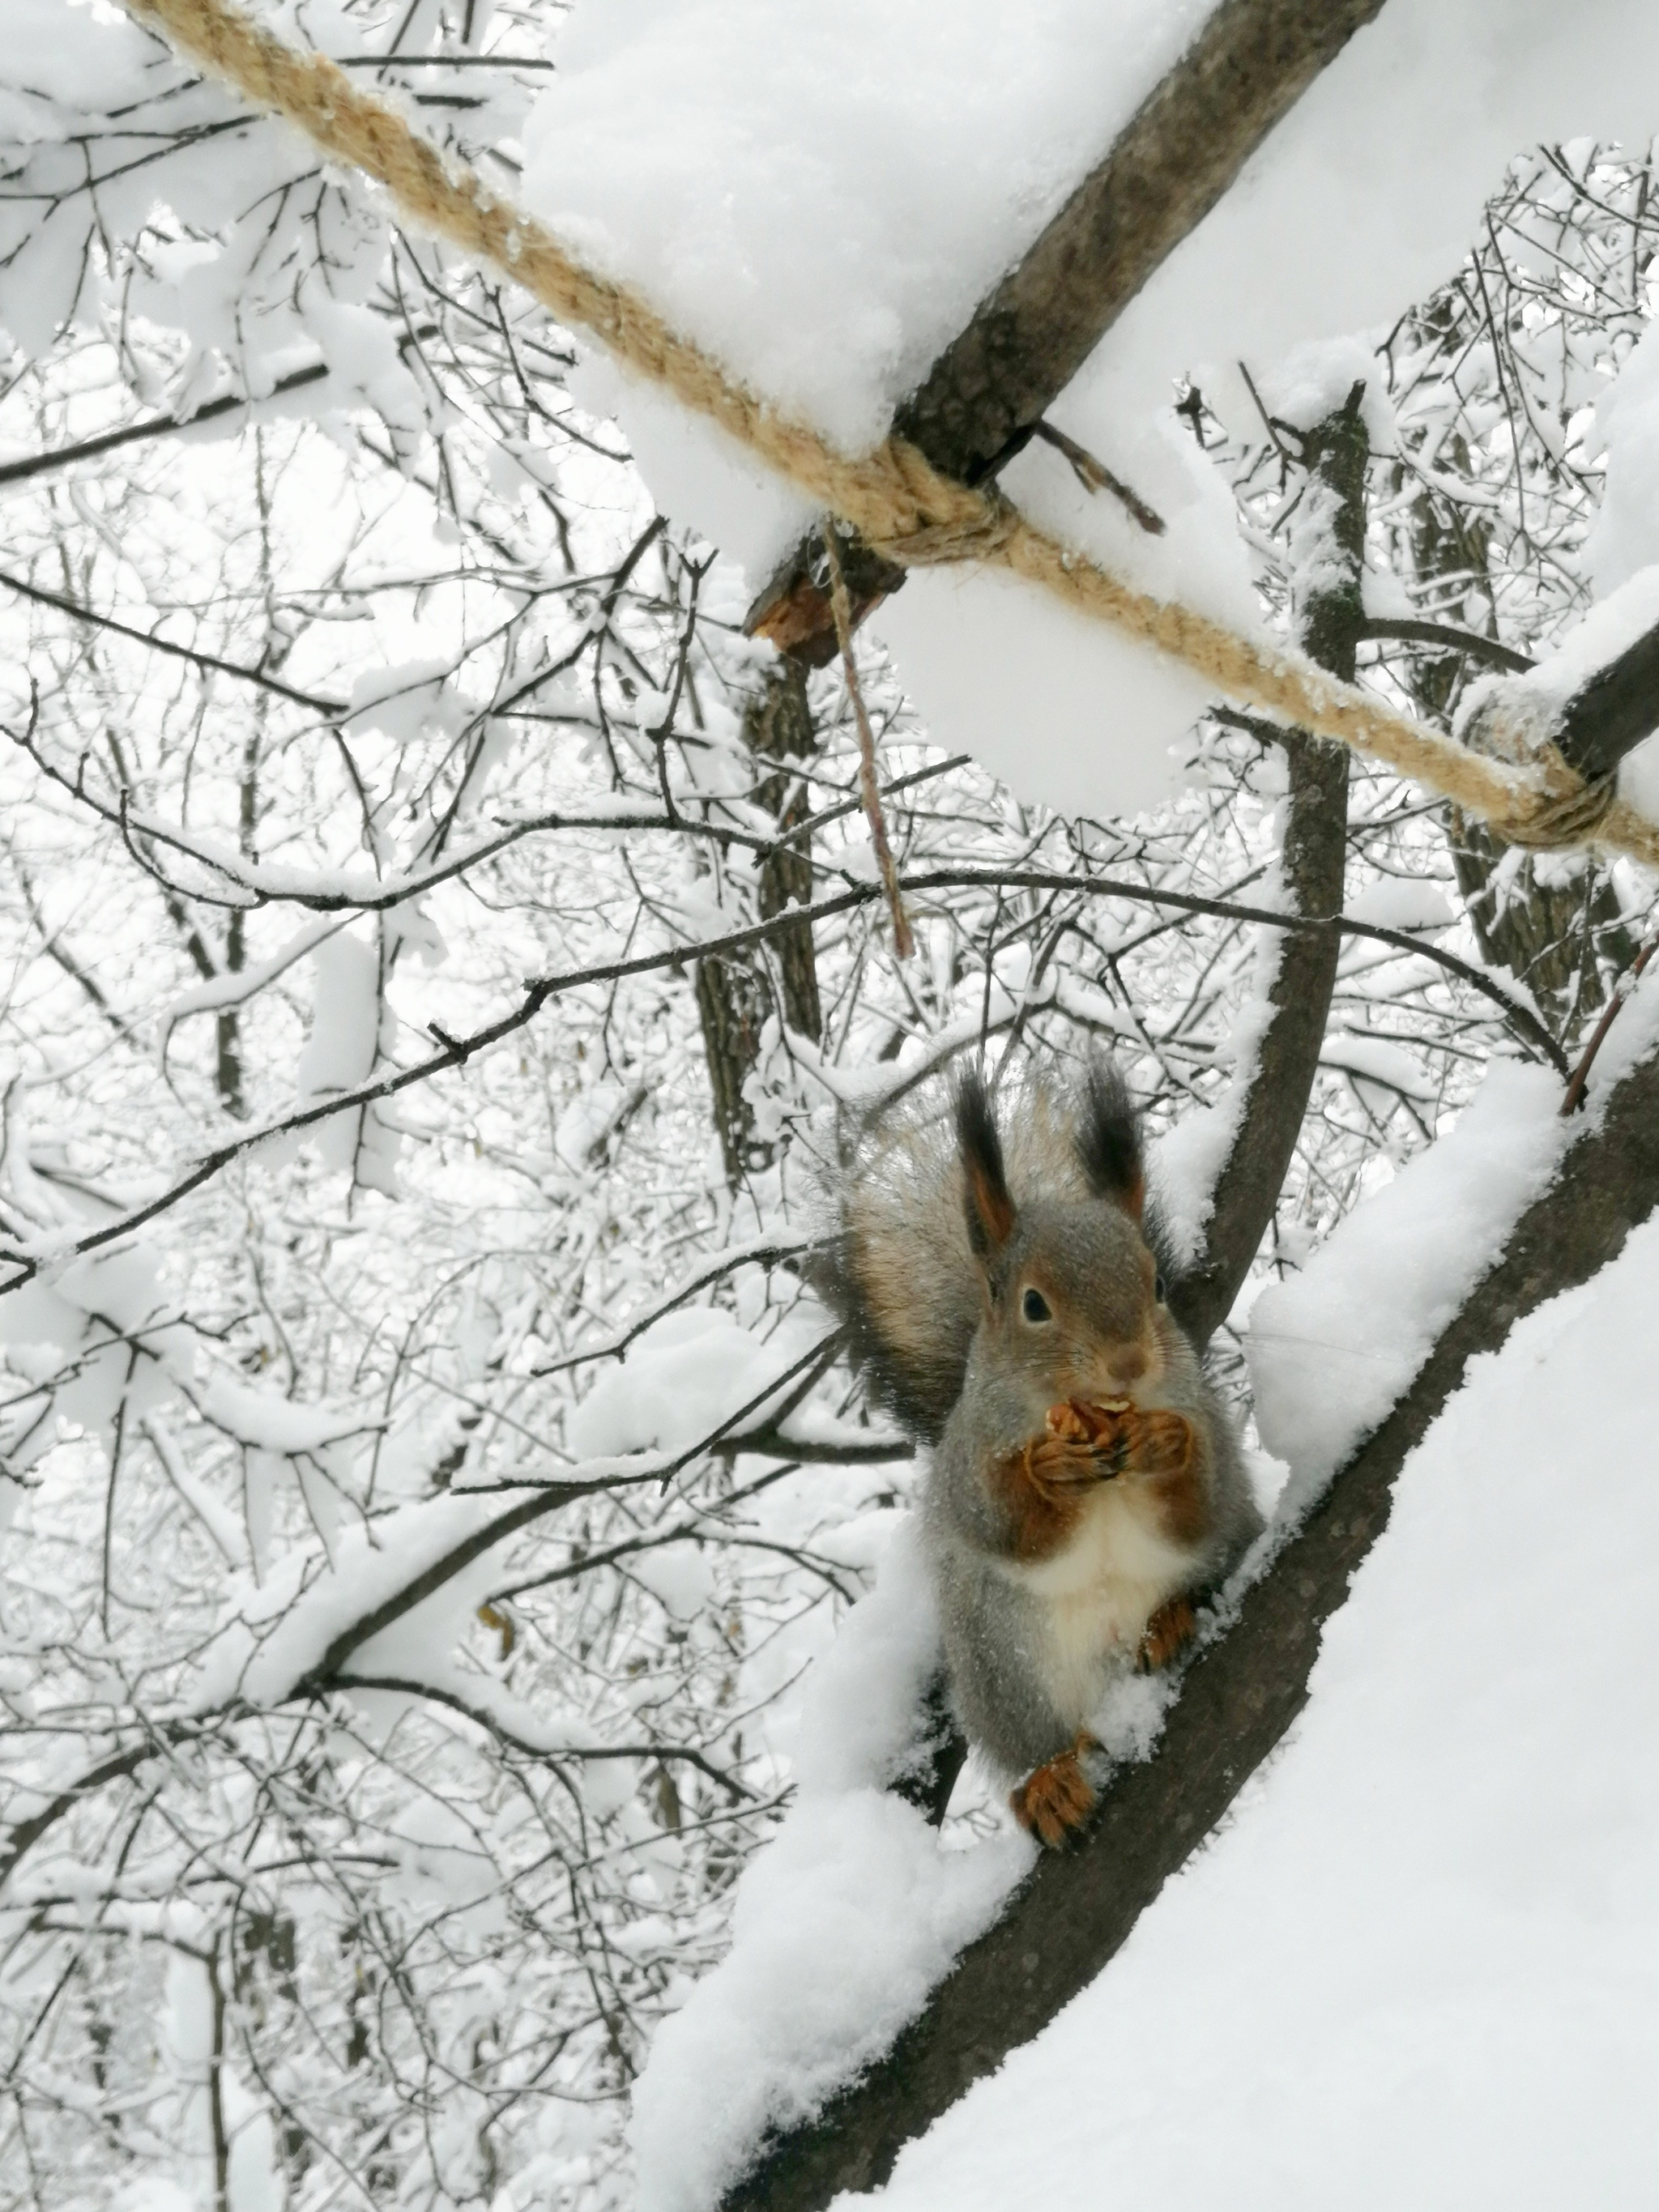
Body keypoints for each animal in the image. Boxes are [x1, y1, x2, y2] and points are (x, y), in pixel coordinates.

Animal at [827, 1052, 1265, 1849]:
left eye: (1158, 1284)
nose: (1129, 1364)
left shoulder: (1208, 1421)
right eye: (1034, 1305)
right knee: (1037, 1740)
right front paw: (1052, 1473)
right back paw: (1050, 1781)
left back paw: (1174, 1617)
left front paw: (1164, 1445)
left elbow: (1201, 1499)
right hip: (1004, 1669)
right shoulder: (970, 1459)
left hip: (1223, 1558)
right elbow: (1006, 1524)